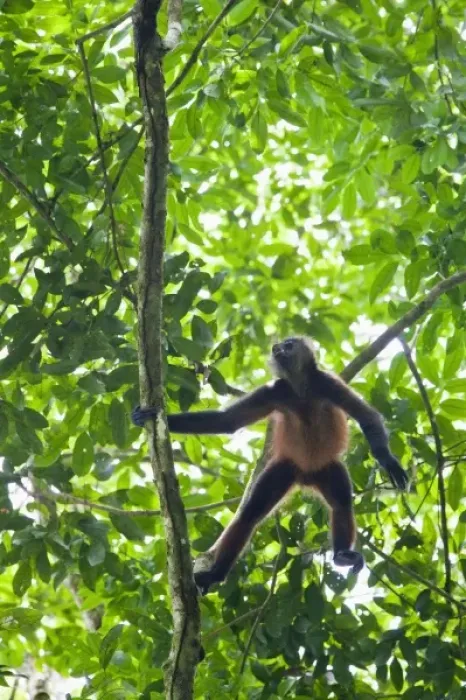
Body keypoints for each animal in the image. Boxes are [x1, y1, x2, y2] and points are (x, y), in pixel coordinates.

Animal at [132, 337, 408, 594]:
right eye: (280, 346)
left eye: (289, 344)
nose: (277, 349)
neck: (299, 388)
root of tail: (305, 476)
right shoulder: (274, 391)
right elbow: (227, 421)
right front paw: (148, 416)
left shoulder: (327, 383)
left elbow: (367, 417)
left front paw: (388, 461)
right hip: (284, 469)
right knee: (250, 514)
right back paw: (216, 574)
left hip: (328, 469)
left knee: (341, 503)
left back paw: (341, 555)